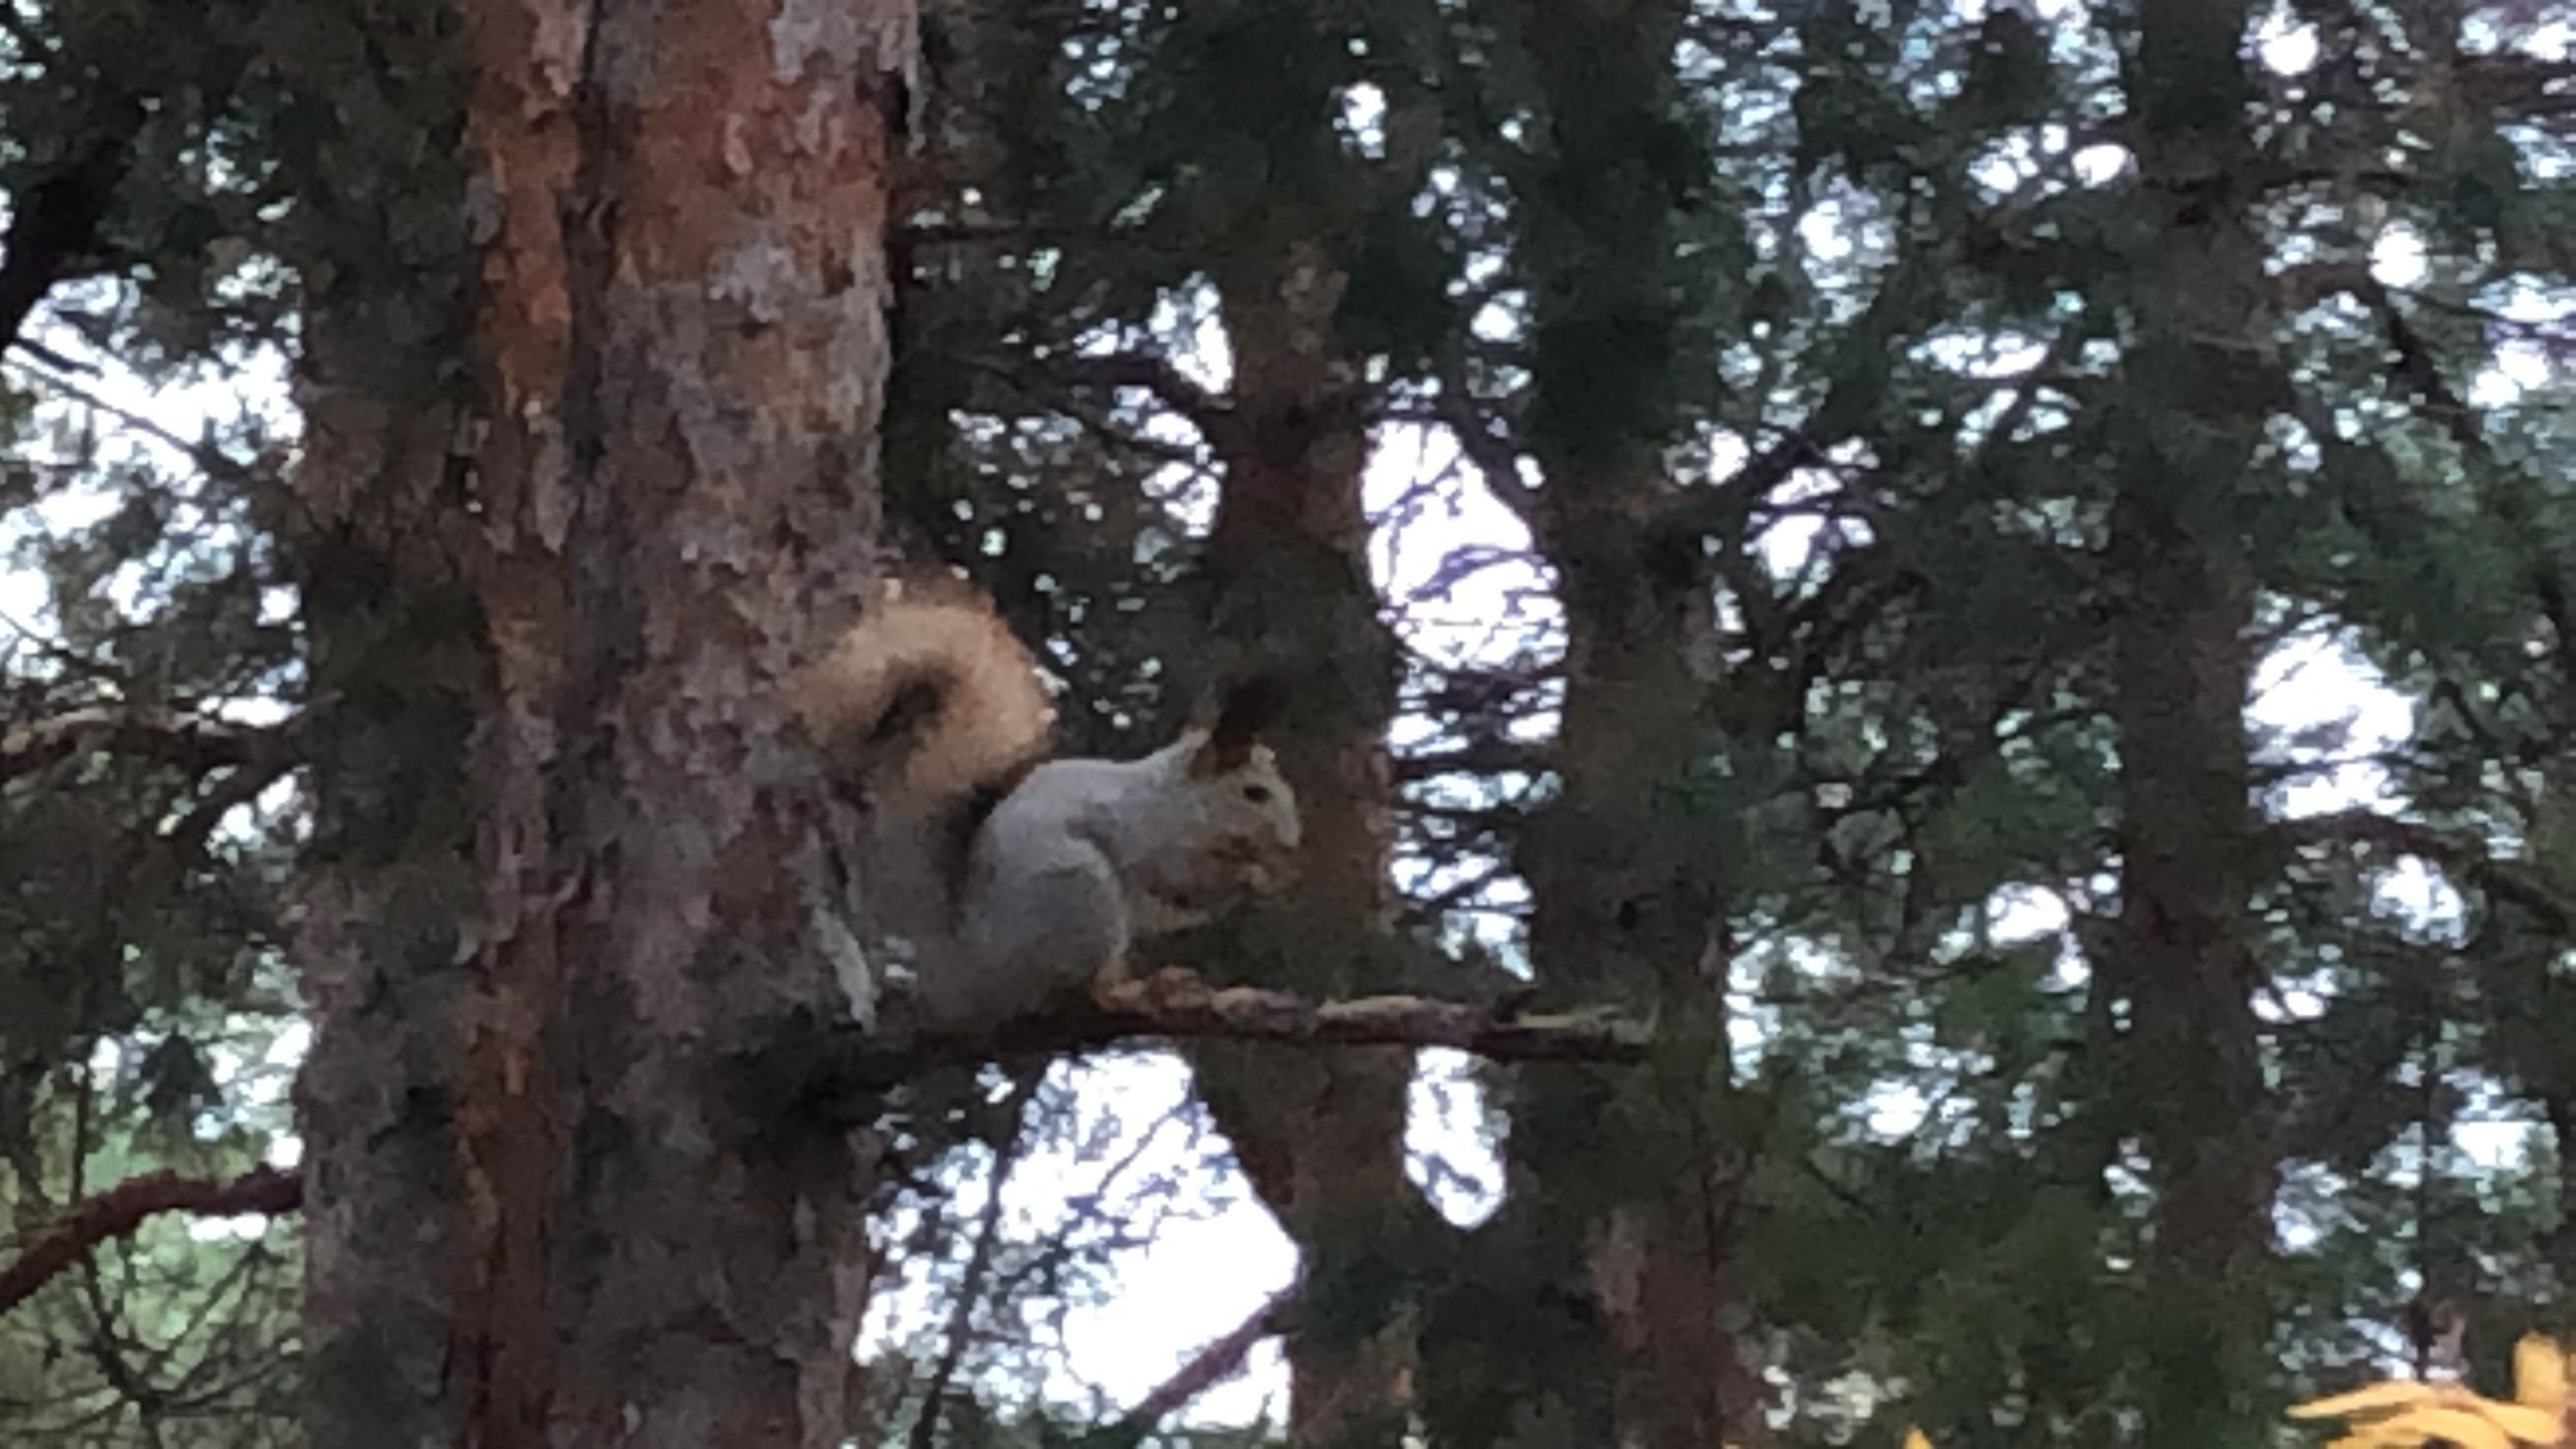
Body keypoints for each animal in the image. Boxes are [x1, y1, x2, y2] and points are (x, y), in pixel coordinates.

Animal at [778, 564, 1309, 1026]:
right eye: (1255, 793)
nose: (1291, 845)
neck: (1182, 800)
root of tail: (973, 969)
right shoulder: (1148, 830)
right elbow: (1181, 880)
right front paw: (1255, 878)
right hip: (1081, 894)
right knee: (1080, 991)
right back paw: (1137, 992)